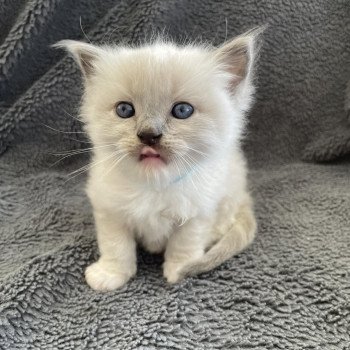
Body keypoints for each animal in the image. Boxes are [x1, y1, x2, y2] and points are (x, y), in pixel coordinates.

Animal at [56, 28, 260, 292]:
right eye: (124, 110)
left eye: (182, 110)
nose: (148, 135)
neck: (154, 183)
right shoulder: (110, 211)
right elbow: (116, 246)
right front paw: (110, 275)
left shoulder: (197, 213)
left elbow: (183, 245)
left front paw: (178, 271)